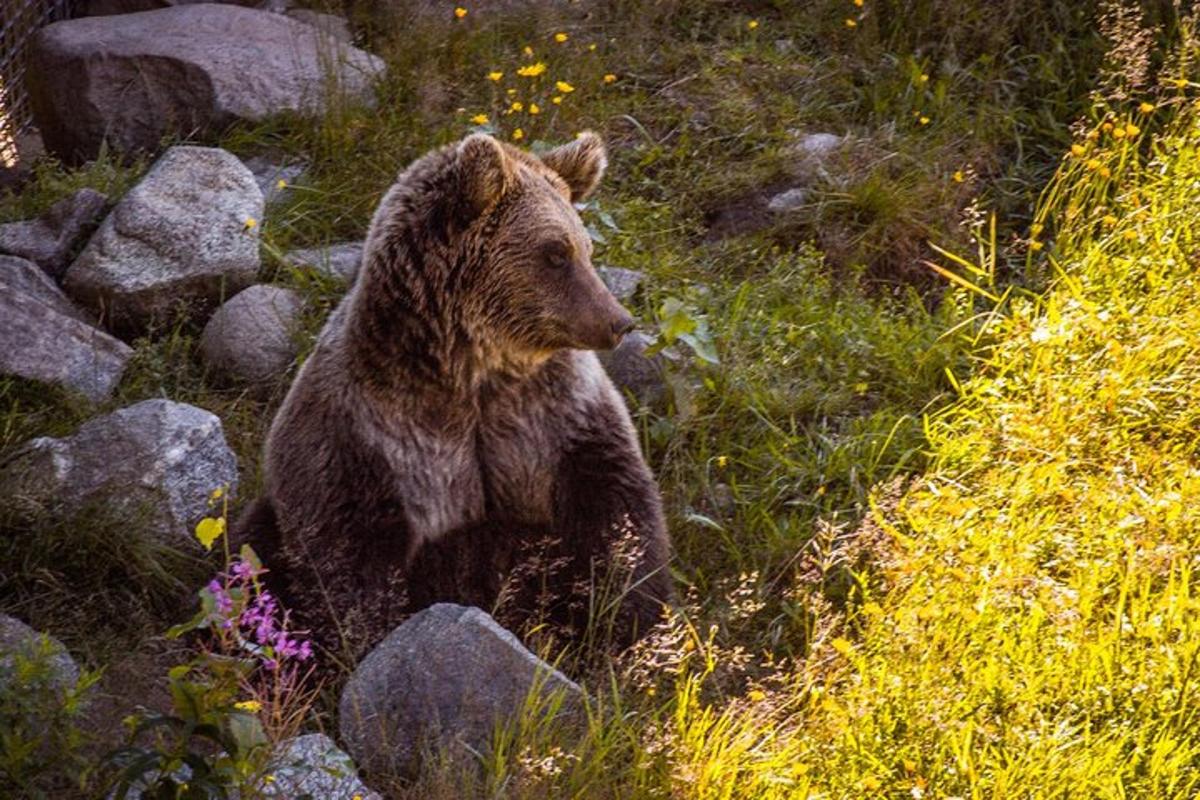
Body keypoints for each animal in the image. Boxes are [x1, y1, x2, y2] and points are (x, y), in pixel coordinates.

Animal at [236, 130, 676, 657]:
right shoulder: (366, 432)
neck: (471, 372)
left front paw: (623, 616)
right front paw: (368, 639)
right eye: (555, 253)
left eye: (585, 247)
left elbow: (616, 506)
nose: (618, 321)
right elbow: (345, 551)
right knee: (253, 555)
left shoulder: (557, 415)